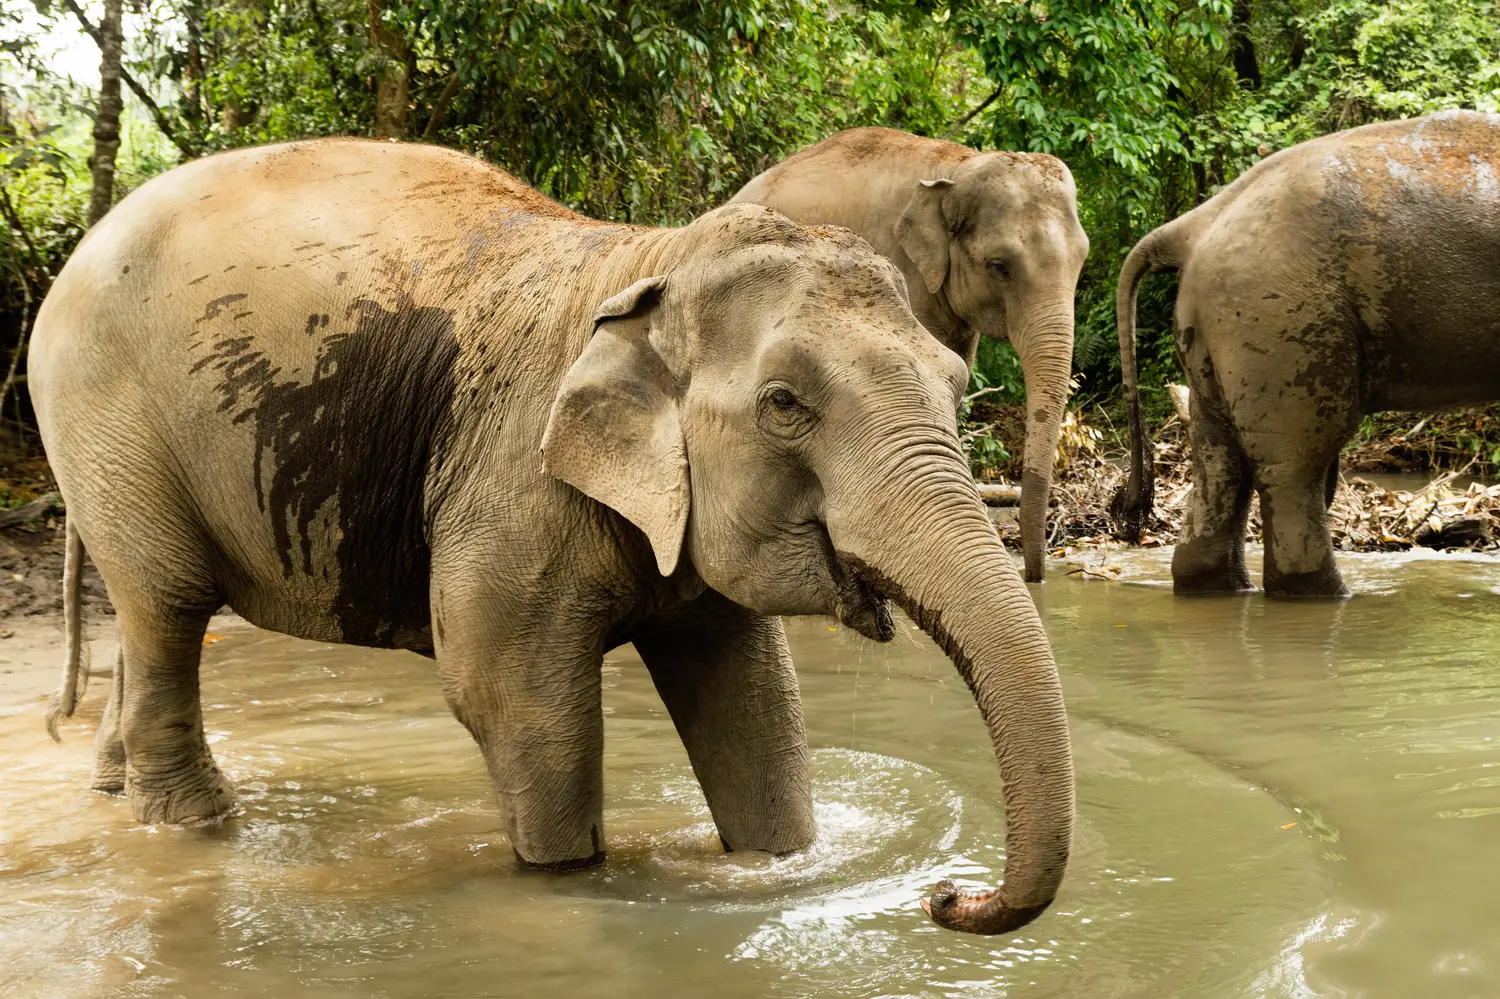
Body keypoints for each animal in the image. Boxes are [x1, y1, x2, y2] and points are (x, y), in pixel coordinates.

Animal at [1117, 110, 1500, 597]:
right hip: (1280, 312)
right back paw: (1321, 594)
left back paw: (1217, 587)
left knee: (1218, 453)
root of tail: (1198, 221)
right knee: (1296, 459)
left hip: (1216, 320)